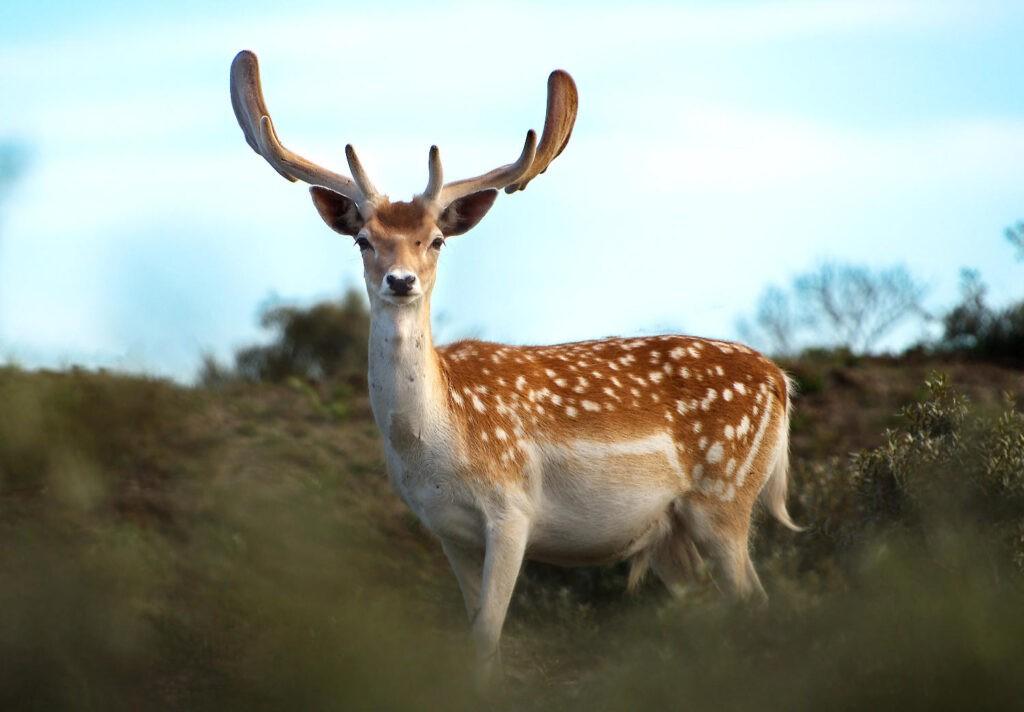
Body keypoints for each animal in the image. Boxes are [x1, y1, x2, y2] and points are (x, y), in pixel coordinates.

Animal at [230, 48, 798, 680]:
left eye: (435, 239)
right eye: (362, 240)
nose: (399, 281)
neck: (439, 447)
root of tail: (780, 381)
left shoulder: (512, 510)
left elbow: (486, 636)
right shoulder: (445, 530)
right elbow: (474, 631)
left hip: (725, 493)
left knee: (755, 597)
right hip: (670, 529)